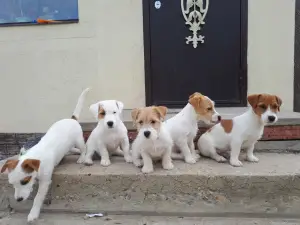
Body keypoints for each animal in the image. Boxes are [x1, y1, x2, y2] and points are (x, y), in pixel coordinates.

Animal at [0, 87, 89, 222]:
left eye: (24, 181)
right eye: (12, 184)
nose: (18, 200)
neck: (35, 156)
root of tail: (71, 119)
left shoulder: (45, 182)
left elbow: (38, 198)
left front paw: (33, 213)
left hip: (78, 139)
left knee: (83, 148)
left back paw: (81, 157)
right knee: (71, 149)